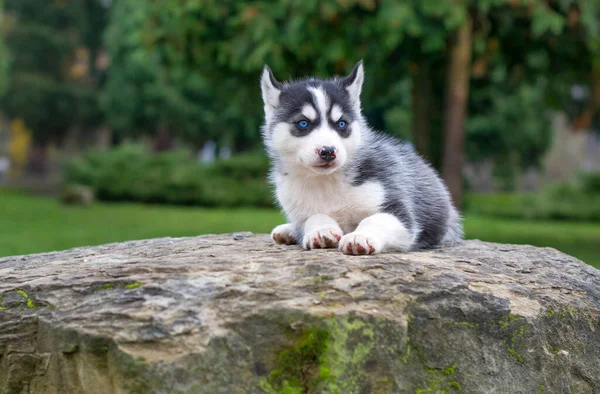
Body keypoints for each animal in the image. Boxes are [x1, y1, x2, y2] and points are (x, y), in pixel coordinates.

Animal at [260, 60, 462, 254]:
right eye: (303, 123)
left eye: (341, 124)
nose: (328, 151)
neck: (326, 181)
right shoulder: (299, 212)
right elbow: (313, 216)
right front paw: (321, 229)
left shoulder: (397, 209)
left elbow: (375, 219)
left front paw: (360, 237)